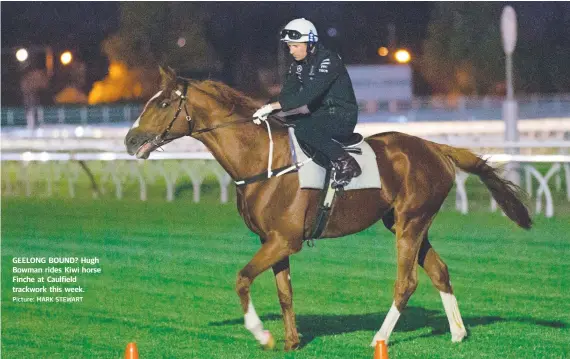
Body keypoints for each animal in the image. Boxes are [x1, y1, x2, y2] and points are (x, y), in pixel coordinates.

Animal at [123, 67, 528, 352]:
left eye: (162, 103)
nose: (130, 139)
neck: (262, 160)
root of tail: (436, 147)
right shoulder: (273, 241)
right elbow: (284, 293)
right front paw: (291, 341)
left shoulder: (283, 240)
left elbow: (241, 278)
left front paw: (262, 335)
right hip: (410, 223)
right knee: (439, 272)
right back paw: (458, 333)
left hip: (409, 224)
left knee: (406, 282)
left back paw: (379, 338)